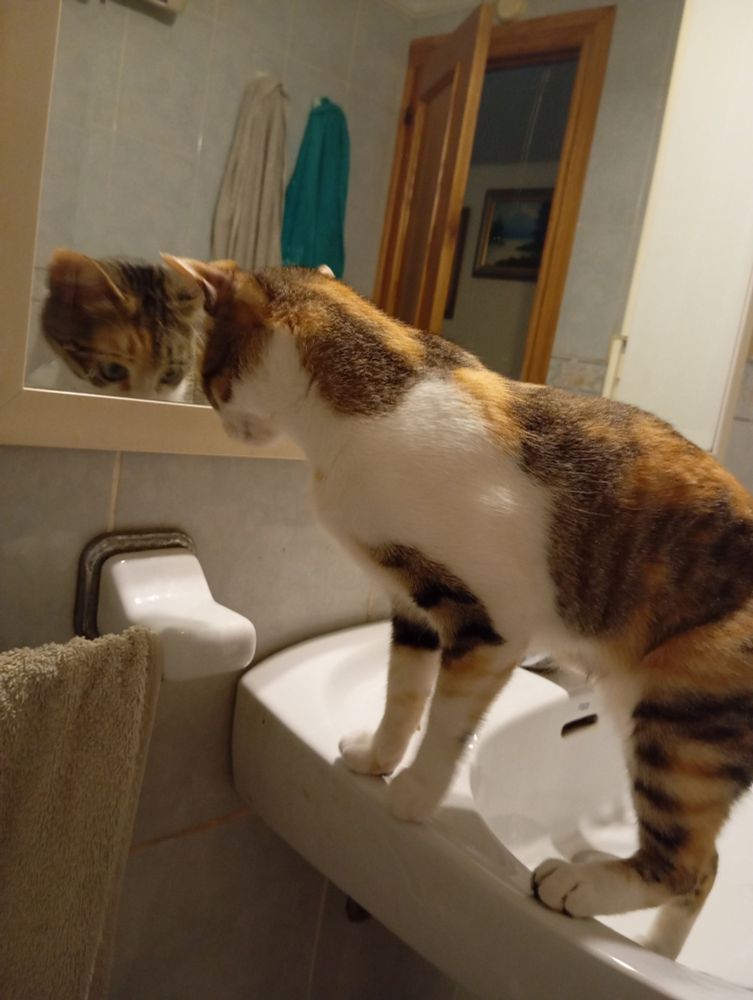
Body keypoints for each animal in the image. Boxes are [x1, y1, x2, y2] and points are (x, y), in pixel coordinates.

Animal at [162, 253, 753, 961]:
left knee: (686, 861)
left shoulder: (493, 621)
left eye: (210, 374)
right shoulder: (412, 603)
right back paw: (659, 951)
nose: (217, 418)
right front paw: (377, 759)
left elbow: (446, 719)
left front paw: (416, 794)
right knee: (710, 866)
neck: (368, 409)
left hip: (681, 718)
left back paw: (577, 886)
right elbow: (404, 693)